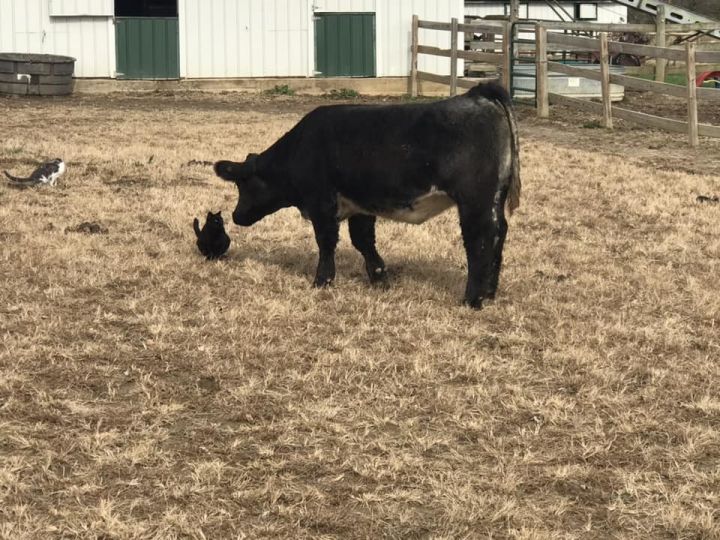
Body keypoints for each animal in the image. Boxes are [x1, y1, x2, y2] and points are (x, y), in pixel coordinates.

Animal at [215, 81, 524, 308]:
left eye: (242, 184)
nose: (236, 216)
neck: (300, 148)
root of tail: (478, 94)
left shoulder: (321, 202)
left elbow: (326, 242)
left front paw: (322, 281)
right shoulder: (360, 205)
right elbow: (363, 240)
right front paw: (380, 278)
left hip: (475, 200)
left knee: (480, 240)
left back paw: (473, 299)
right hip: (494, 197)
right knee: (499, 235)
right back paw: (490, 292)